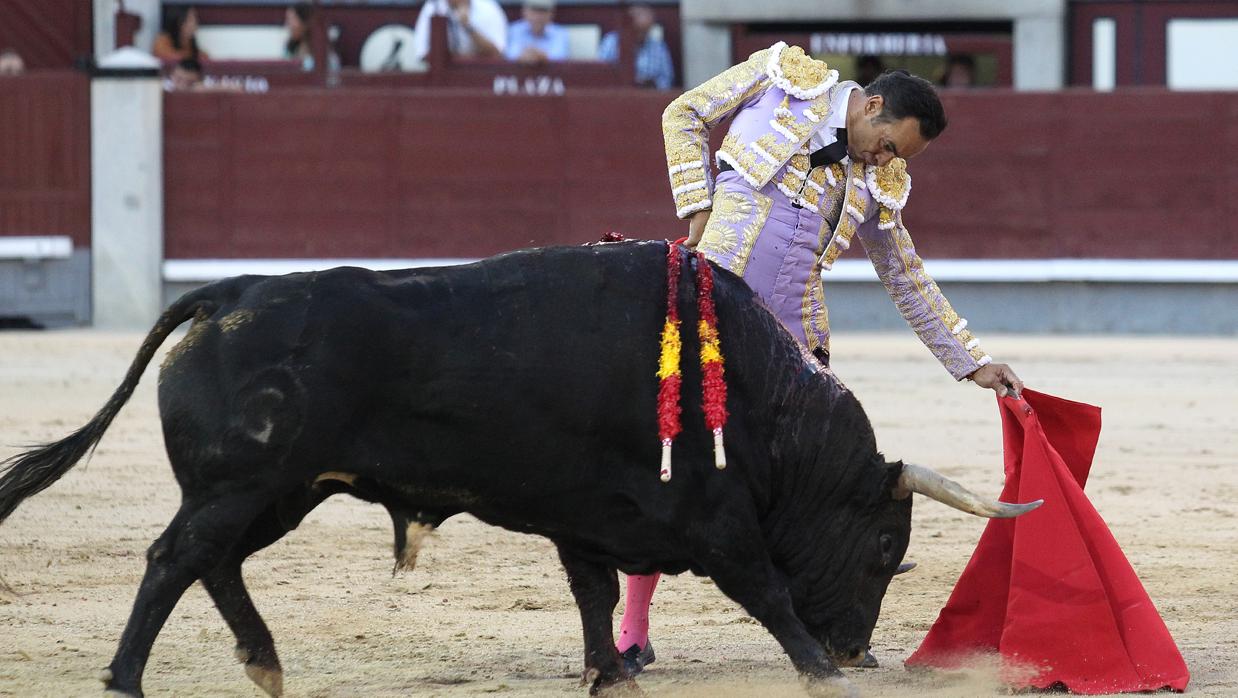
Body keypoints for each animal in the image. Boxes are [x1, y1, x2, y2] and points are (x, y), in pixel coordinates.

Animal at [0, 241, 1039, 698]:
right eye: (884, 547)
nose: (863, 649)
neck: (765, 405)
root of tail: (228, 293)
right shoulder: (718, 520)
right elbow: (767, 590)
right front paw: (818, 671)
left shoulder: (589, 514)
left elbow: (591, 592)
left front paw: (608, 673)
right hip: (242, 486)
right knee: (172, 560)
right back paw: (127, 680)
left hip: (278, 493)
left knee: (210, 563)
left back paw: (262, 661)